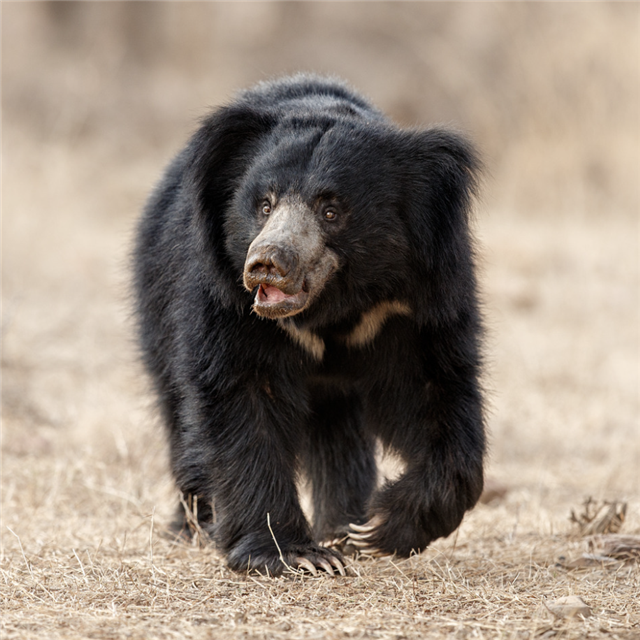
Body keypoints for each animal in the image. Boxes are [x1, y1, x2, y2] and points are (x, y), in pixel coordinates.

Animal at [133, 74, 485, 577]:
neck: (330, 308)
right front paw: (295, 554)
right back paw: (194, 525)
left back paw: (343, 524)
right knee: (178, 412)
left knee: (339, 435)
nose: (266, 264)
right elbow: (242, 398)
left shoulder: (416, 300)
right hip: (156, 305)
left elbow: (434, 390)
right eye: (264, 204)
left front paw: (376, 528)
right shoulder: (225, 301)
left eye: (331, 210)